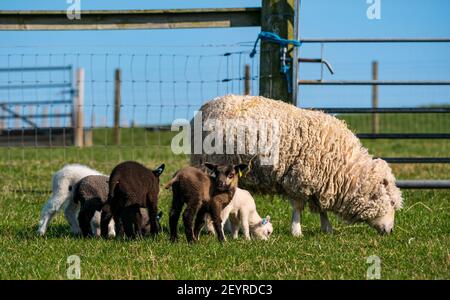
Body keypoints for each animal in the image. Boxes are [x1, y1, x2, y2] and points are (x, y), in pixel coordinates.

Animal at [192, 95, 402, 236]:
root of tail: (205, 106)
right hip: (209, 164)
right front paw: (296, 231)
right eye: (391, 203)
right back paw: (212, 228)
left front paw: (327, 228)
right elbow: (299, 207)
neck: (342, 169)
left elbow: (321, 207)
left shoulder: (320, 182)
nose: (391, 231)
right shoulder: (300, 178)